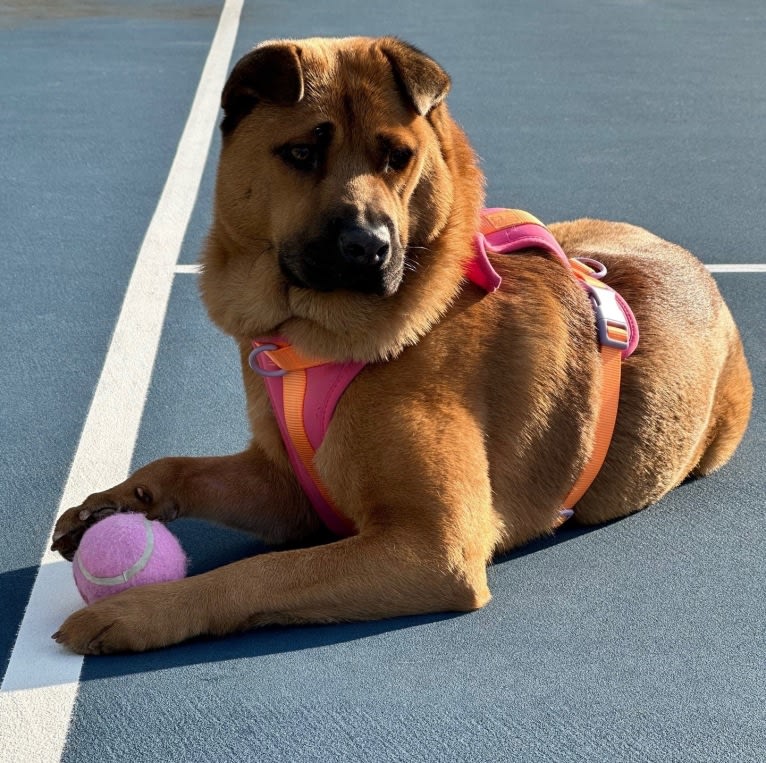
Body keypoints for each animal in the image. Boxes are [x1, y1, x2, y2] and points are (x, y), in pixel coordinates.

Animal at [51, 37, 752, 656]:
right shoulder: (287, 487)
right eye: (301, 152)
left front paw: (139, 609)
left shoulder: (431, 549)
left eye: (397, 157)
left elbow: (260, 572)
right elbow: (175, 466)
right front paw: (116, 502)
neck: (318, 342)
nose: (369, 247)